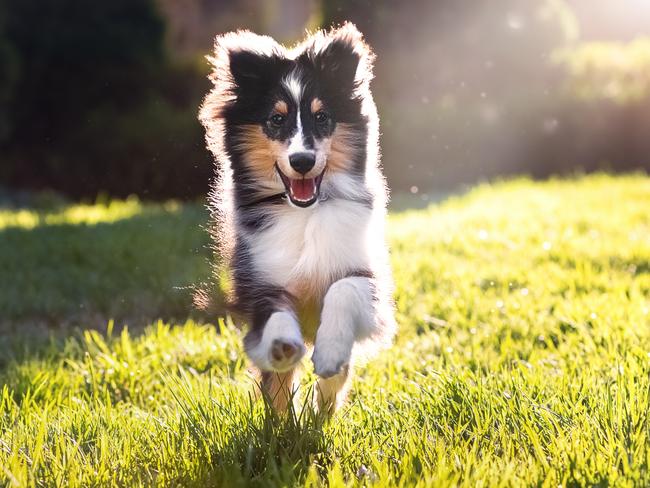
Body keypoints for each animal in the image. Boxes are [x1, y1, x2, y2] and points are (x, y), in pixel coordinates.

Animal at [197, 21, 392, 412]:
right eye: (276, 119)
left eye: (322, 117)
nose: (302, 161)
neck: (305, 214)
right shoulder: (259, 282)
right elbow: (274, 316)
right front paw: (283, 345)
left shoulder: (367, 278)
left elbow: (344, 289)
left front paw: (330, 353)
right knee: (279, 390)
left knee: (333, 384)